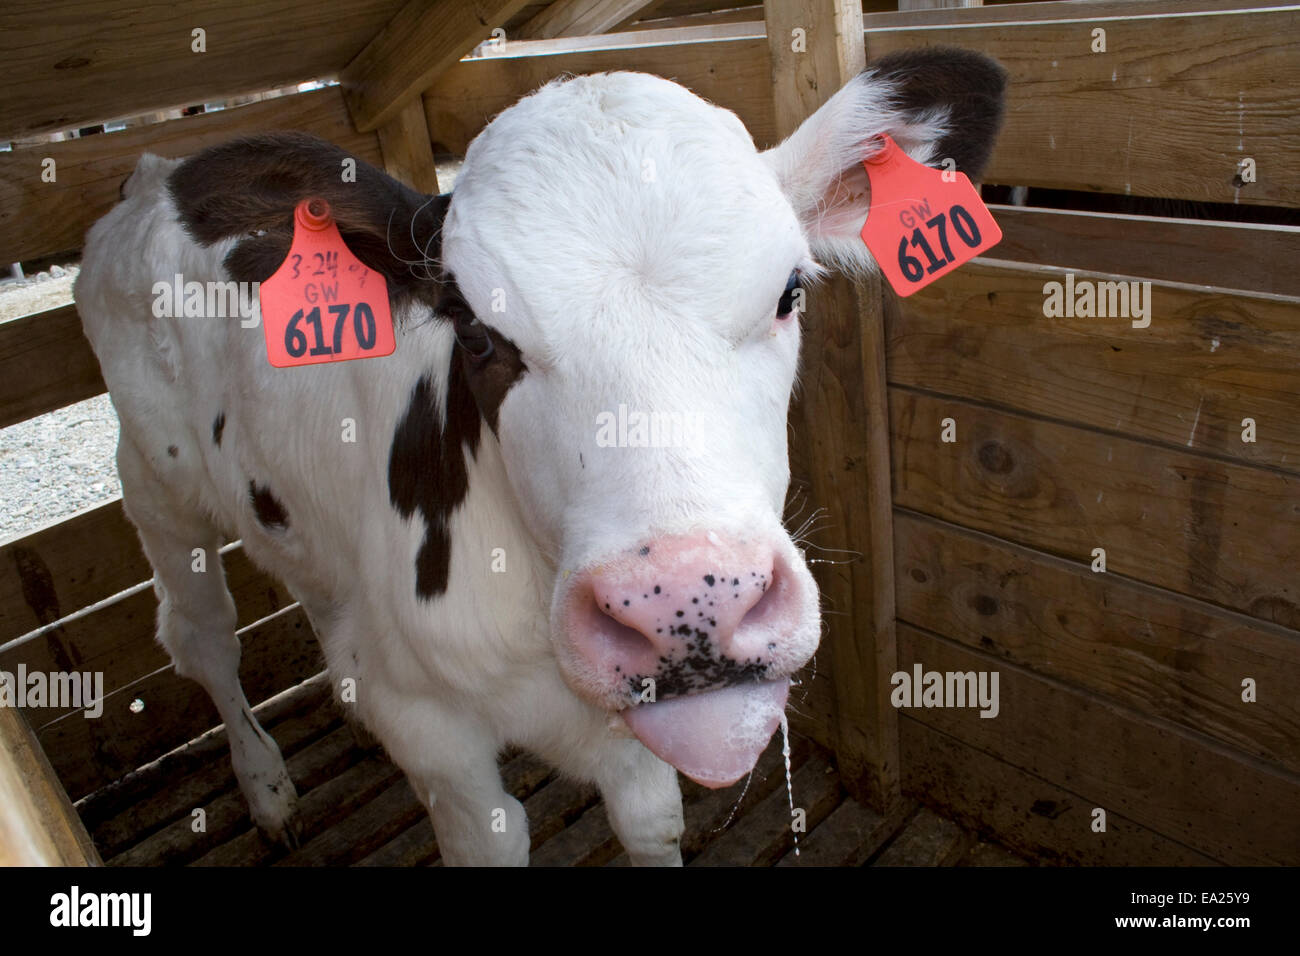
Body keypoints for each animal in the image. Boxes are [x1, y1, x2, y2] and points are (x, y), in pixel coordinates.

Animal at [75, 48, 1006, 865]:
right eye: (477, 332)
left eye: (790, 293)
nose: (686, 603)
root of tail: (152, 171)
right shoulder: (432, 733)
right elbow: (489, 833)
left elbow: (651, 819)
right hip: (153, 480)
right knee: (202, 637)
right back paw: (266, 788)